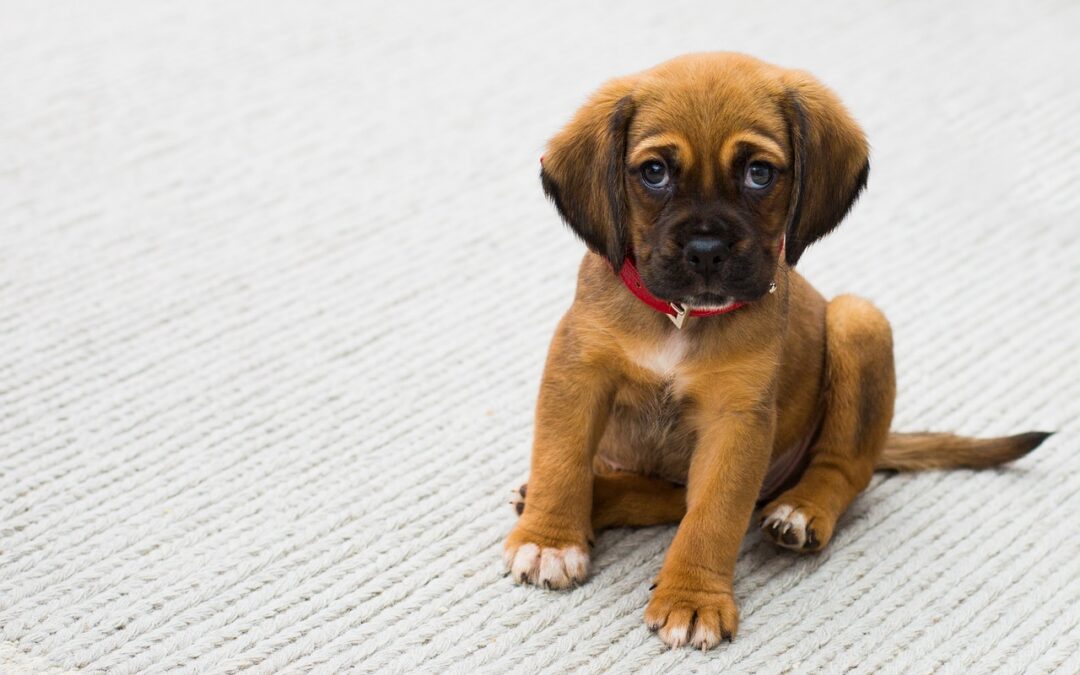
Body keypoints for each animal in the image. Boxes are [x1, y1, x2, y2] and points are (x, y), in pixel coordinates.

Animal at [501, 52, 1049, 648]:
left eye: (759, 173)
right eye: (654, 172)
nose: (706, 251)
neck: (680, 319)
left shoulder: (736, 421)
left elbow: (713, 516)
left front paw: (693, 598)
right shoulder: (577, 374)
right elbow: (561, 459)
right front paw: (551, 539)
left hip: (859, 321)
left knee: (843, 468)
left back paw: (803, 511)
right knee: (665, 496)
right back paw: (589, 498)